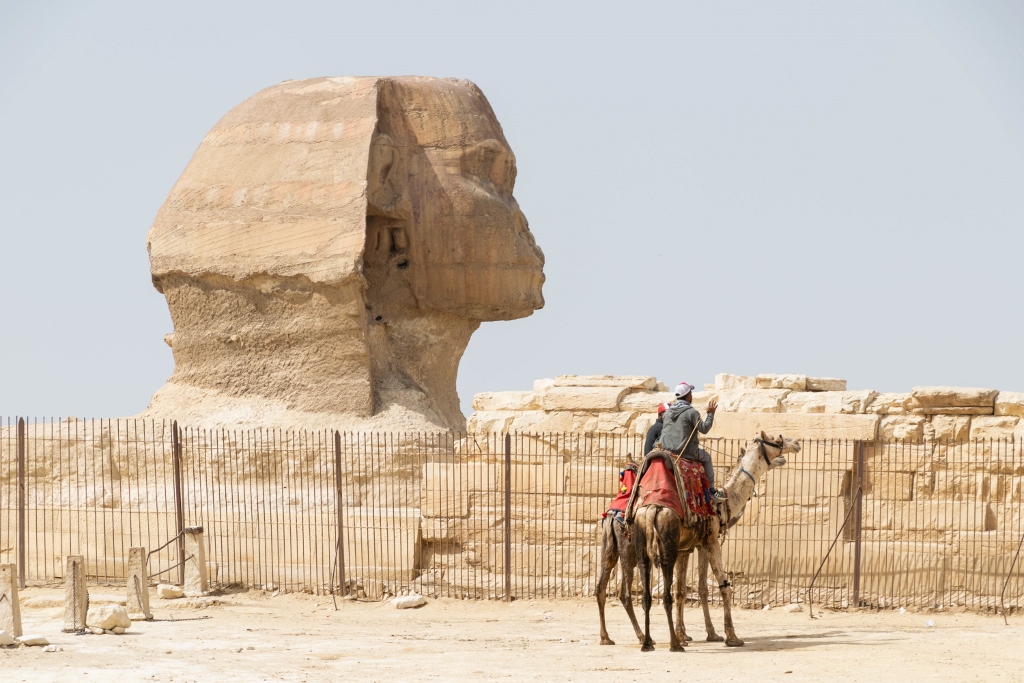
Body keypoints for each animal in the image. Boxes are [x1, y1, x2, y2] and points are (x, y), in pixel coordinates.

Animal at [628, 431, 800, 651]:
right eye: (776, 440)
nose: (795, 444)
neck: (725, 503)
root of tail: (651, 509)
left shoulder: (689, 547)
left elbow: (686, 590)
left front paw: (693, 634)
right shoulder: (710, 541)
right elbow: (723, 587)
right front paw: (730, 636)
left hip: (643, 540)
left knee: (648, 592)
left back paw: (649, 642)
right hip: (664, 544)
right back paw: (672, 644)